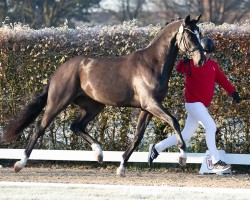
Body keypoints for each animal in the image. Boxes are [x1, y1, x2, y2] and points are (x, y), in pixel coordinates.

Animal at [2, 14, 205, 177]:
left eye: (200, 33)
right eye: (190, 34)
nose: (201, 59)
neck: (153, 64)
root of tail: (59, 70)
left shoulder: (147, 108)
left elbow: (137, 136)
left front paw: (121, 167)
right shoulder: (151, 104)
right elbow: (174, 121)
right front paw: (182, 157)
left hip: (94, 106)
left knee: (76, 126)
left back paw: (99, 153)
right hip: (58, 102)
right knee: (40, 128)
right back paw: (20, 164)